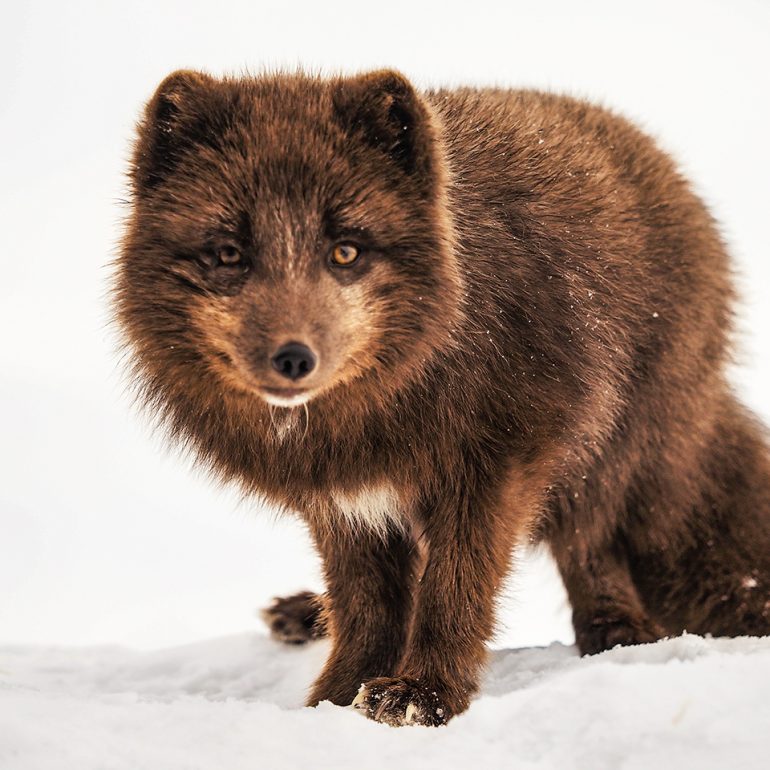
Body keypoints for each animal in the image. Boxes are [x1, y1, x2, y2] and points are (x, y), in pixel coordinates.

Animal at [114, 68, 770, 726]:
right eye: (228, 253)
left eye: (346, 250)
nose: (293, 358)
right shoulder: (343, 502)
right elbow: (367, 607)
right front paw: (334, 697)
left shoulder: (500, 465)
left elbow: (454, 589)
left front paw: (423, 695)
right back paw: (306, 613)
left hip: (612, 448)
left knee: (594, 547)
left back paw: (615, 634)